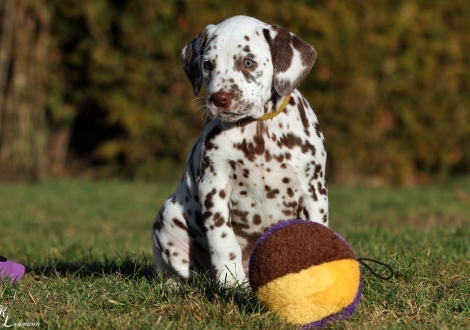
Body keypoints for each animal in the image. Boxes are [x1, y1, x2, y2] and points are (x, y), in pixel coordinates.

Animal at [152, 14, 328, 284]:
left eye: (248, 62)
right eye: (208, 65)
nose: (219, 98)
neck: (258, 129)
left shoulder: (313, 190)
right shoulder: (214, 187)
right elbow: (223, 241)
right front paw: (231, 283)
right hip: (170, 217)